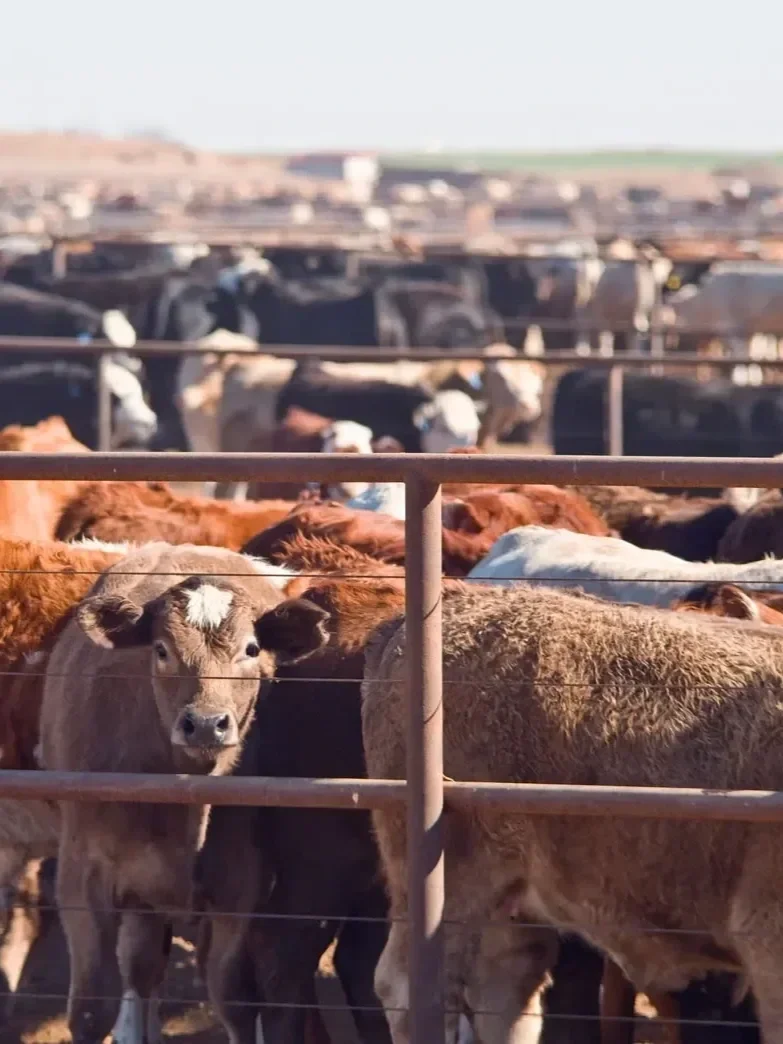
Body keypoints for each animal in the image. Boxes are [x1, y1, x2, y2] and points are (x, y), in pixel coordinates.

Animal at [38, 543, 330, 1044]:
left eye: (252, 649)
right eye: (161, 650)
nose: (207, 724)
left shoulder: (239, 888)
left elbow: (234, 1001)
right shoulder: (81, 878)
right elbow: (93, 1011)